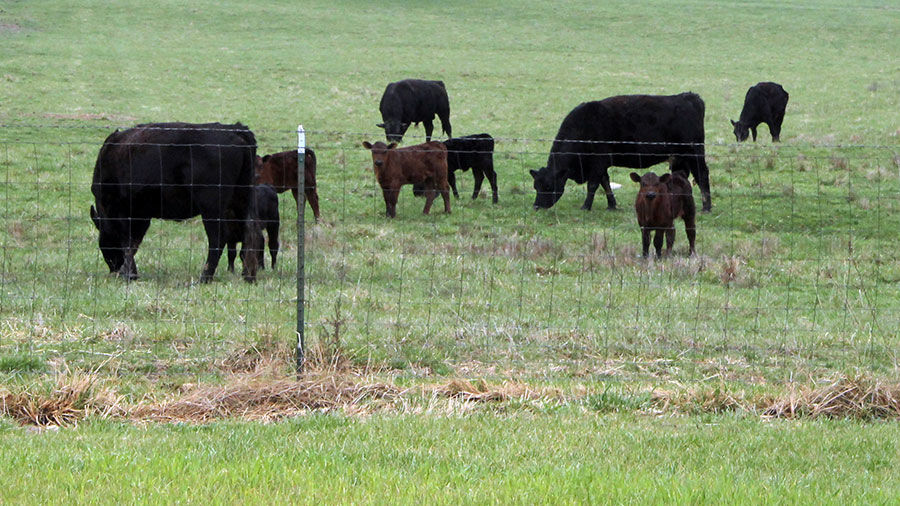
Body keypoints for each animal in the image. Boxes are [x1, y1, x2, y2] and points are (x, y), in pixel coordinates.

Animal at [90, 122, 260, 283]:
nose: (113, 269)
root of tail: (236, 129)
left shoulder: (122, 211)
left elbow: (127, 242)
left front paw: (129, 274)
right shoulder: (141, 215)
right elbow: (133, 243)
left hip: (211, 206)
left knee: (218, 238)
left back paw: (205, 277)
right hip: (241, 199)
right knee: (249, 232)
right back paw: (248, 276)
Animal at [530, 93, 712, 213]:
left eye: (548, 186)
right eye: (535, 186)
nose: (536, 206)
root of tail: (689, 96)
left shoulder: (598, 162)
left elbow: (593, 185)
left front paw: (585, 206)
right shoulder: (601, 164)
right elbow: (605, 183)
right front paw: (612, 205)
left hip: (694, 153)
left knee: (702, 175)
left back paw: (706, 207)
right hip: (679, 158)